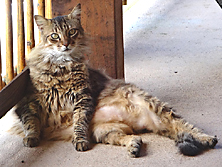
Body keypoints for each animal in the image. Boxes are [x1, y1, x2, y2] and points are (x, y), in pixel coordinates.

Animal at [11, 3, 217, 158]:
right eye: (54, 36)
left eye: (72, 32)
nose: (66, 44)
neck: (61, 68)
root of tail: (142, 120)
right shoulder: (28, 102)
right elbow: (31, 123)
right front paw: (31, 139)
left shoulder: (82, 98)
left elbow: (79, 123)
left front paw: (80, 141)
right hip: (105, 131)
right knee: (134, 138)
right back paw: (134, 146)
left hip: (157, 107)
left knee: (184, 126)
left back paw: (208, 138)